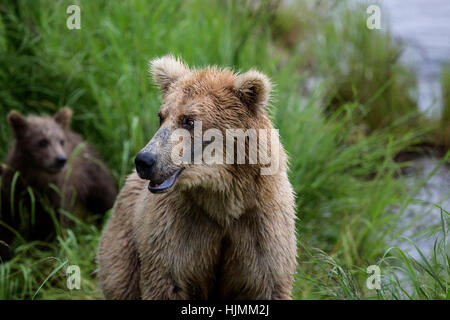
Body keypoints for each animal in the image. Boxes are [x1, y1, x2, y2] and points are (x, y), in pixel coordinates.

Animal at [0, 109, 117, 258]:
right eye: (42, 141)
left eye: (61, 141)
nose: (60, 159)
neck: (36, 179)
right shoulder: (14, 189)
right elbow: (7, 222)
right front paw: (5, 253)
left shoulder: (56, 193)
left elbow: (53, 224)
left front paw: (45, 250)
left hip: (93, 177)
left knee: (105, 200)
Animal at [96, 57, 298, 300]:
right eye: (161, 116)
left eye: (189, 120)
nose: (145, 160)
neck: (222, 201)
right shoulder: (177, 229)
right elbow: (167, 280)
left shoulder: (260, 226)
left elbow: (267, 282)